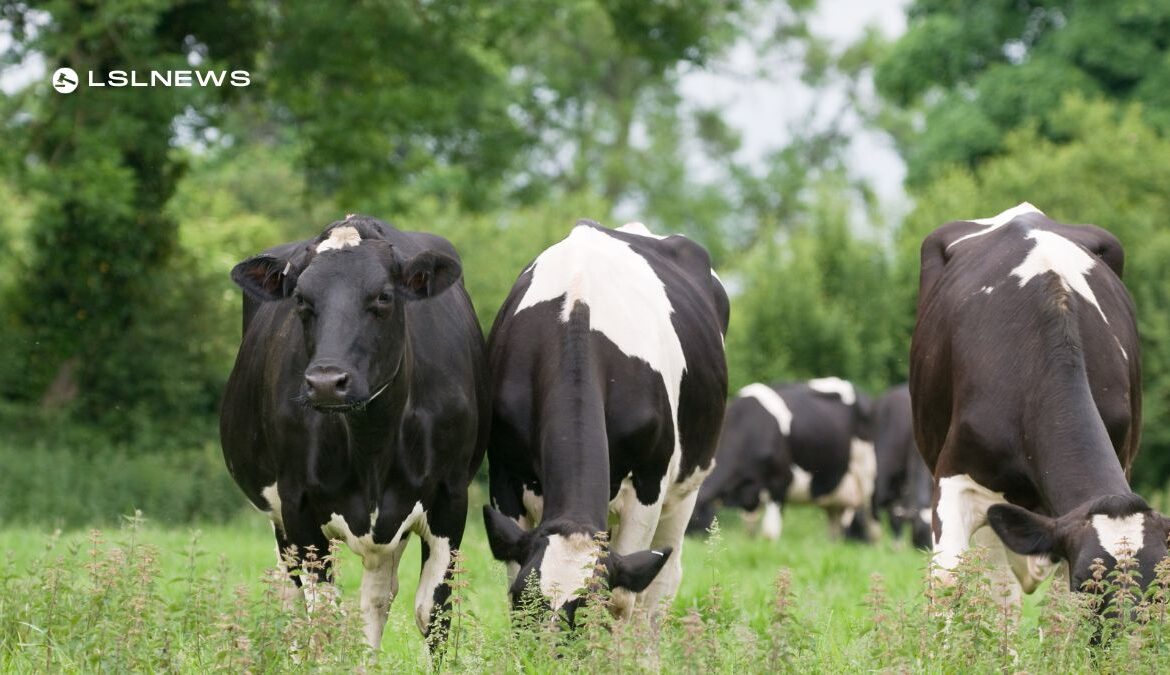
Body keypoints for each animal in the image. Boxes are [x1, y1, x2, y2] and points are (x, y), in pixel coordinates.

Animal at [219, 215, 489, 645]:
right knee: (292, 601)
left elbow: (432, 613)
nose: (326, 382)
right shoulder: (296, 505)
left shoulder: (451, 497)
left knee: (376, 600)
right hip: (280, 521)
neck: (372, 441)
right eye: (300, 299)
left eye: (383, 296)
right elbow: (322, 618)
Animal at [479, 221, 725, 622]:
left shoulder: (649, 483)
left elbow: (624, 597)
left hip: (688, 486)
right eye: (522, 602)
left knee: (662, 583)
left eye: (586, 614)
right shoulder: (504, 475)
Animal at [683, 376, 879, 545]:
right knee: (835, 525)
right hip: (834, 492)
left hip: (867, 475)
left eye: (693, 519)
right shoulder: (750, 496)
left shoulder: (780, 482)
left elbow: (769, 534)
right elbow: (749, 530)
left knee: (872, 520)